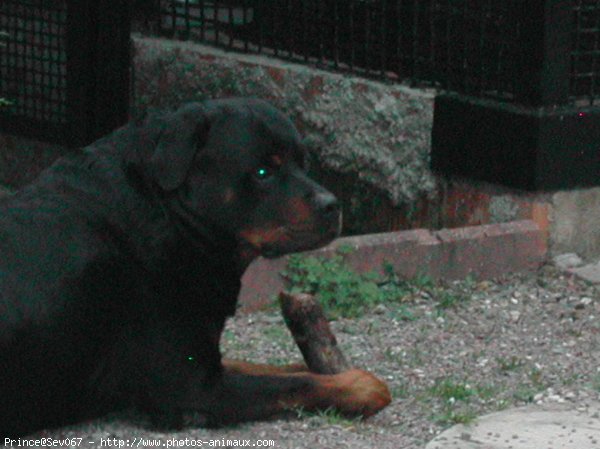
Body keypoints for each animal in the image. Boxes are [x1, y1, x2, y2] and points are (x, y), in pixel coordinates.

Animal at [0, 97, 392, 434]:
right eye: (263, 171)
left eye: (303, 163)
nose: (332, 205)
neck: (170, 216)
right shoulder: (194, 388)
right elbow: (293, 385)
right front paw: (360, 385)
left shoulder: (201, 356)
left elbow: (267, 368)